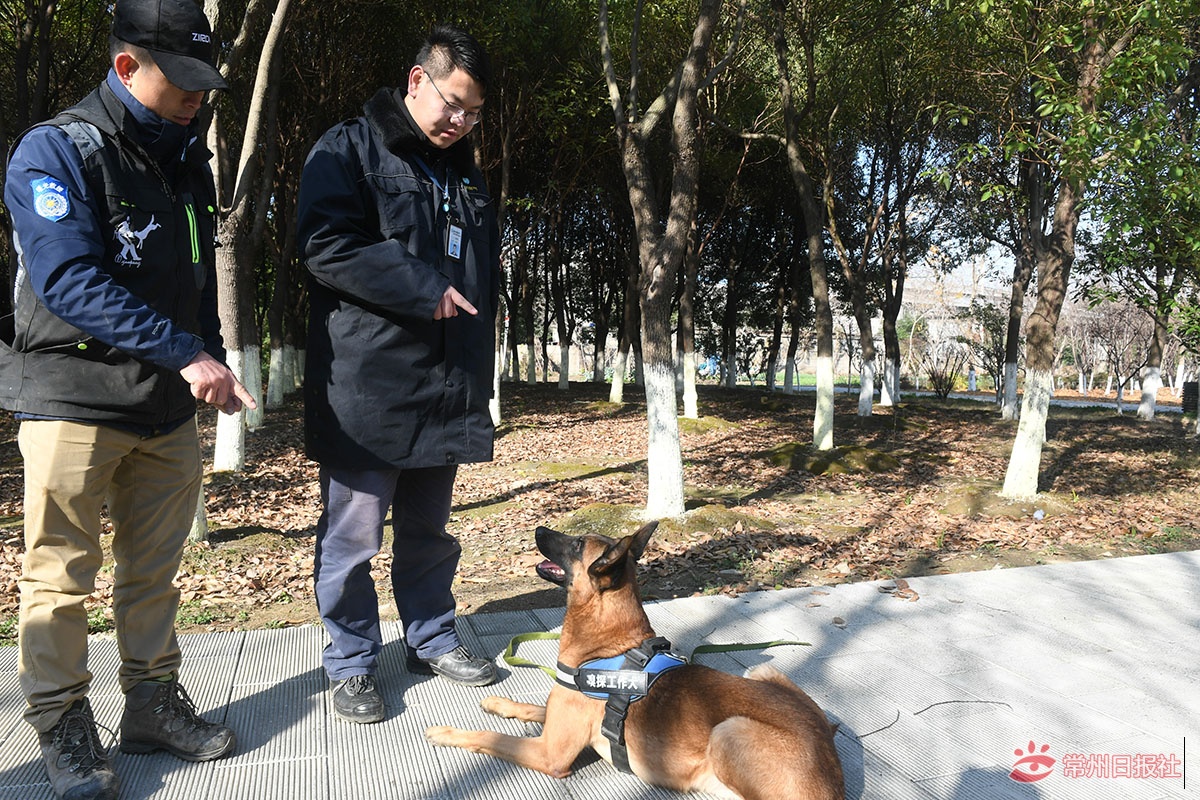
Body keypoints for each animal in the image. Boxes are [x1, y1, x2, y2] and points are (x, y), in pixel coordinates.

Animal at [422, 522, 844, 796]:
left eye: (578, 544)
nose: (539, 528)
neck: (608, 642)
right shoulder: (555, 717)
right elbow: (531, 707)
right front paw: (499, 703)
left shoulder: (549, 753)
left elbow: (488, 737)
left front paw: (446, 733)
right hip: (762, 670)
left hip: (730, 730)